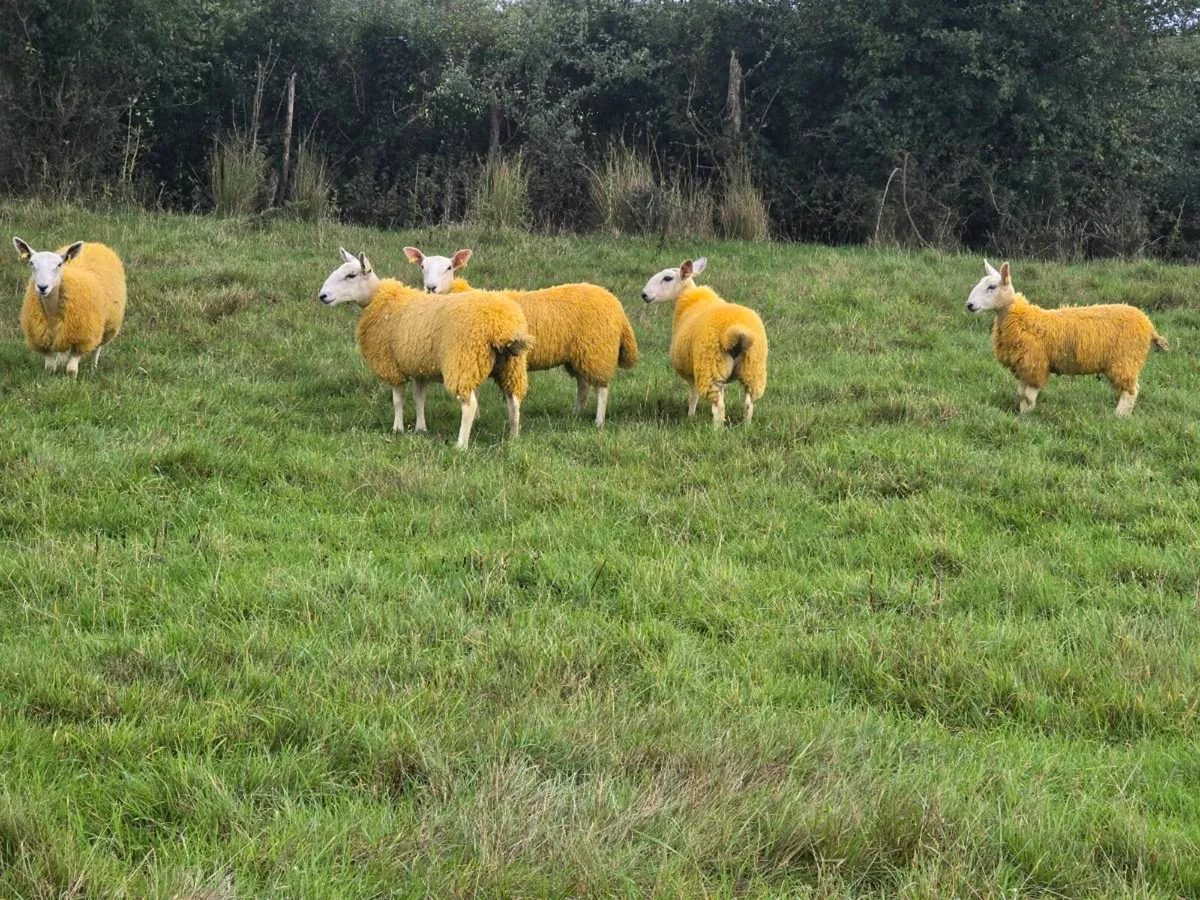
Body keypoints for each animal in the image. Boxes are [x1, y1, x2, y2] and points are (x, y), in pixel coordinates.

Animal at [12, 237, 126, 377]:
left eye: (59, 264)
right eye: (31, 263)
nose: (42, 287)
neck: (52, 312)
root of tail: (94, 244)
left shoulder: (81, 338)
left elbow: (71, 369)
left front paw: (70, 380)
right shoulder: (43, 339)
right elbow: (50, 367)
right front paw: (49, 377)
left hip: (108, 324)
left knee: (97, 348)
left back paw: (93, 369)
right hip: (66, 331)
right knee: (63, 349)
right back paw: (61, 362)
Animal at [318, 248, 533, 449]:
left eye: (351, 275)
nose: (322, 296)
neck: (380, 300)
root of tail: (498, 323)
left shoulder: (391, 364)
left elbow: (398, 399)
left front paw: (397, 429)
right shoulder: (419, 366)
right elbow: (419, 398)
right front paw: (421, 428)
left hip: (462, 362)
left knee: (470, 405)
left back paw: (461, 445)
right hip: (510, 366)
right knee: (514, 401)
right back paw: (513, 438)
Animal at [401, 246, 638, 427]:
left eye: (449, 267)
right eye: (422, 267)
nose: (431, 287)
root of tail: (615, 303)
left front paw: (475, 418)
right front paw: (477, 418)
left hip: (598, 349)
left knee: (602, 389)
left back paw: (598, 421)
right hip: (579, 353)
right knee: (583, 386)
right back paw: (576, 415)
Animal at [641, 257, 768, 428]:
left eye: (667, 278)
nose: (644, 294)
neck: (689, 300)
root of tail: (737, 334)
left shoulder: (692, 372)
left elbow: (693, 397)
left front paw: (690, 417)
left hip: (710, 367)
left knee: (719, 407)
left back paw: (716, 430)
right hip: (752, 369)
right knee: (748, 404)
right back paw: (746, 426)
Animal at [966, 259, 1168, 417]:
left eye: (992, 287)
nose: (969, 305)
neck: (1020, 318)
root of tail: (1148, 324)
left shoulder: (1036, 363)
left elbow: (1029, 396)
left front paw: (1028, 418)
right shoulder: (1025, 365)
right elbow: (1021, 394)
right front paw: (1022, 415)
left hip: (1125, 359)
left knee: (1131, 391)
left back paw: (1118, 416)